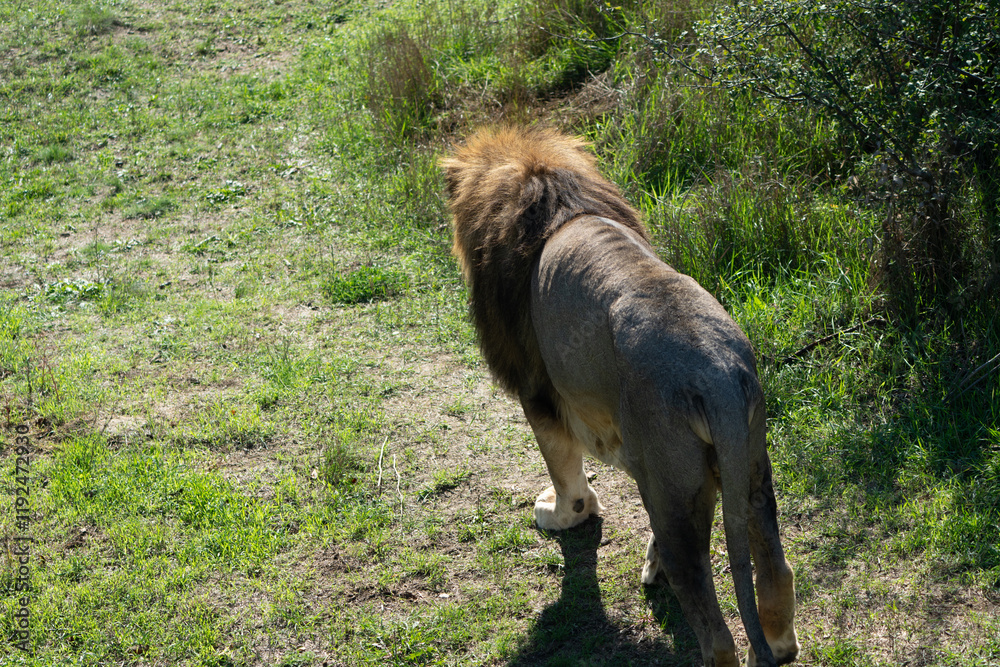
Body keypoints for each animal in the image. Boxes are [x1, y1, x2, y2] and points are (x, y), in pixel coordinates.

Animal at [440, 125, 799, 667]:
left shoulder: (538, 393)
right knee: (775, 566)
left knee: (715, 630)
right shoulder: (641, 450)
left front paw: (562, 513)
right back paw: (775, 642)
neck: (556, 202)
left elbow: (564, 471)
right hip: (750, 463)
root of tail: (711, 371)